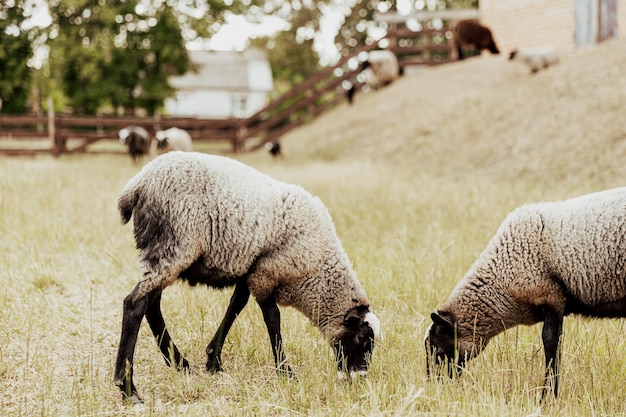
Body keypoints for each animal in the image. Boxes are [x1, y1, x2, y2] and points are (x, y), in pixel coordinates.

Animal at [114, 151, 382, 402]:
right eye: (362, 339)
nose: (359, 377)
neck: (317, 269)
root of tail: (138, 185)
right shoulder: (266, 274)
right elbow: (273, 319)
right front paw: (285, 372)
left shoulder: (251, 270)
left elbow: (235, 306)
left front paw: (213, 360)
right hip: (174, 246)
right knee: (135, 303)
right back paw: (128, 388)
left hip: (166, 254)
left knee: (152, 304)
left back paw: (179, 363)